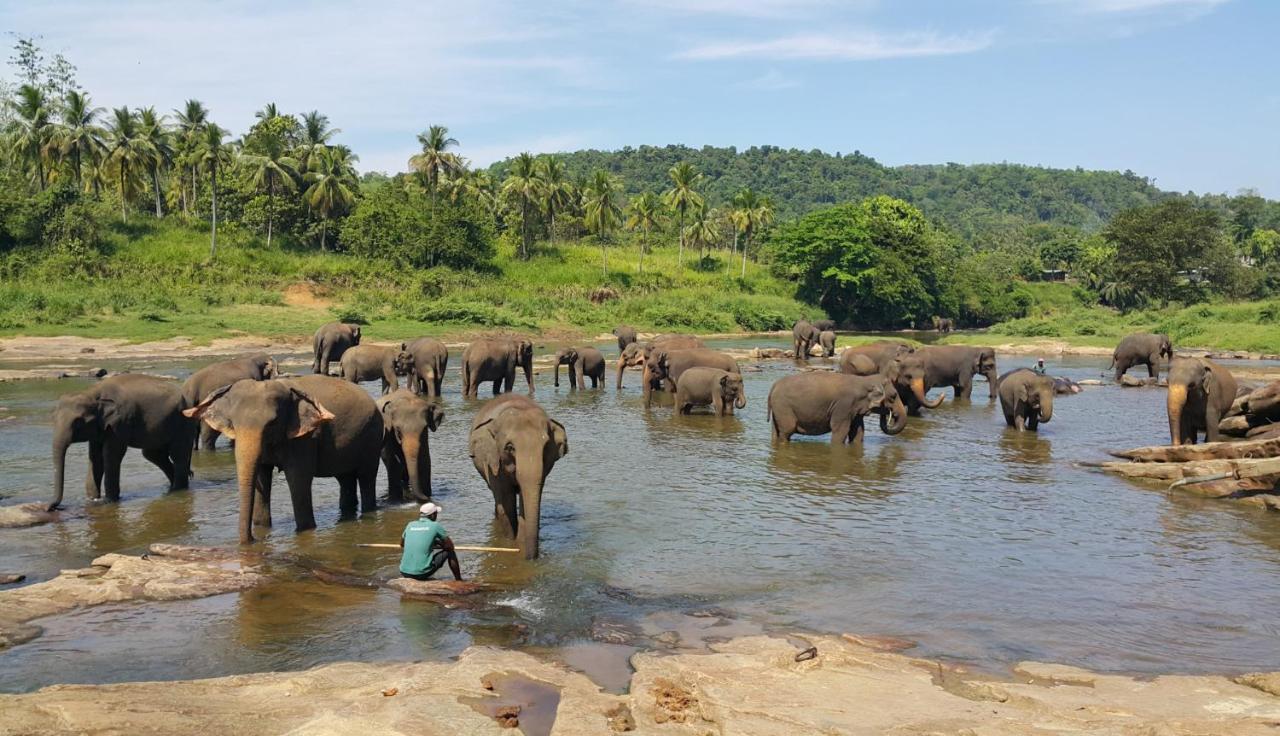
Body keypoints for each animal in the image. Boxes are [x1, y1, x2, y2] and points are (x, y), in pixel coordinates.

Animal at [49, 376, 193, 509]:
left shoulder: (120, 423)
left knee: (177, 455)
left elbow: (111, 455)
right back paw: (173, 486)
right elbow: (95, 458)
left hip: (183, 422)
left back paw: (177, 490)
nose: (49, 507)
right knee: (152, 454)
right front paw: (92, 500)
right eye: (53, 419)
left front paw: (108, 501)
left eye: (78, 422)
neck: (92, 393)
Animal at [181, 376, 378, 545]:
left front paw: (305, 530)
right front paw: (262, 528)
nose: (252, 540)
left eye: (272, 423)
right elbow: (262, 476)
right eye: (233, 422)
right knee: (345, 479)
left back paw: (368, 513)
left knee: (366, 477)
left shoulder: (304, 438)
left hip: (371, 437)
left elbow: (298, 479)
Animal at [468, 396, 568, 558]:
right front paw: (510, 543)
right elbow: (506, 503)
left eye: (546, 446)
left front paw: (520, 543)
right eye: (510, 448)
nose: (531, 559)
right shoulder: (494, 462)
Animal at [762, 373, 906, 442]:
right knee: (787, 431)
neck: (864, 380)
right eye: (894, 396)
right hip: (783, 407)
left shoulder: (855, 409)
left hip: (778, 409)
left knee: (776, 431)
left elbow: (858, 432)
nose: (890, 413)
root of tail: (774, 386)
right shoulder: (844, 406)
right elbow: (840, 431)